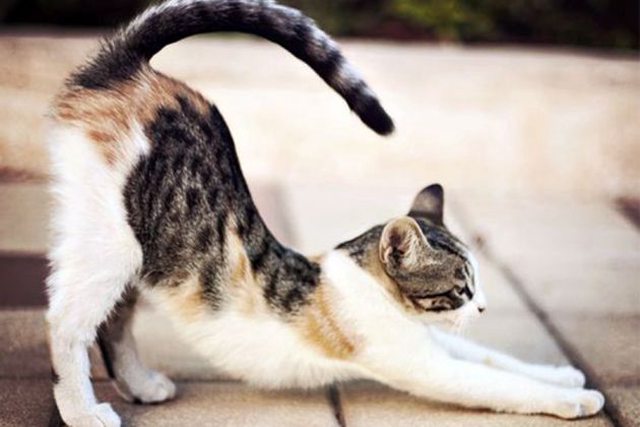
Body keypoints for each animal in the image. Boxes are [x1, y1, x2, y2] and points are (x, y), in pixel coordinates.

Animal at [46, 0, 604, 426]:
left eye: (479, 283)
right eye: (461, 288)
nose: (485, 307)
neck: (375, 291)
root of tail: (134, 65)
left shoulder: (436, 345)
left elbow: (497, 359)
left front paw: (561, 373)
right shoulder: (425, 365)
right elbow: (496, 383)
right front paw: (574, 399)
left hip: (144, 255)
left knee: (114, 322)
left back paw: (140, 385)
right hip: (110, 242)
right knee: (66, 322)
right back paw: (82, 411)